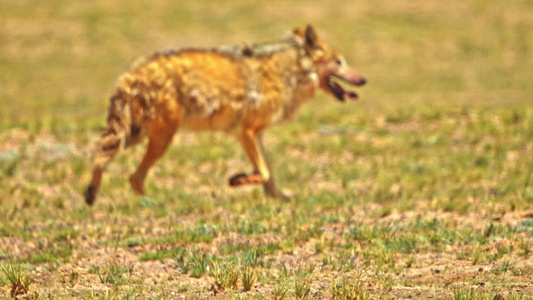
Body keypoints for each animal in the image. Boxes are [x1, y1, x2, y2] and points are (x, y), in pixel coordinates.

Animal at [84, 24, 366, 205]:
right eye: (340, 62)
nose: (364, 79)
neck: (289, 74)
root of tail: (129, 75)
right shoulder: (246, 132)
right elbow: (264, 172)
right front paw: (238, 180)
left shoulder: (255, 134)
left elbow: (270, 176)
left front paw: (282, 198)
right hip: (160, 137)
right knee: (132, 176)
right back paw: (159, 203)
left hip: (136, 135)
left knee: (109, 162)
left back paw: (95, 196)